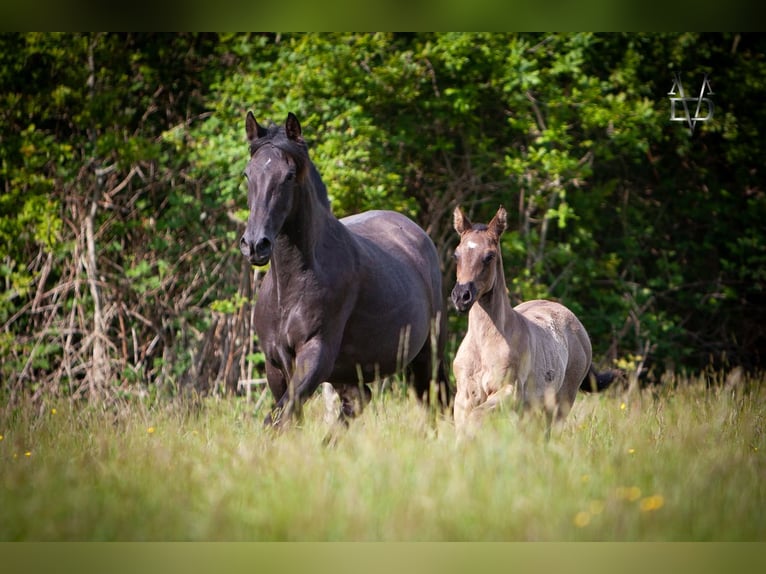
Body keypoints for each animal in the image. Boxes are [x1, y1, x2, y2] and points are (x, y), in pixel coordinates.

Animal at [242, 111, 450, 428]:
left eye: (288, 176)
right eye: (248, 174)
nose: (255, 244)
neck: (291, 286)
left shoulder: (316, 356)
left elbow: (278, 419)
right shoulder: (275, 364)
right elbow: (285, 417)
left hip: (427, 354)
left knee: (437, 401)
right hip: (347, 370)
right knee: (359, 400)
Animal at [452, 207, 596, 436]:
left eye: (489, 256)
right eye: (456, 255)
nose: (461, 297)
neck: (484, 344)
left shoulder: (509, 392)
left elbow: (475, 419)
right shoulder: (465, 395)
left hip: (560, 403)